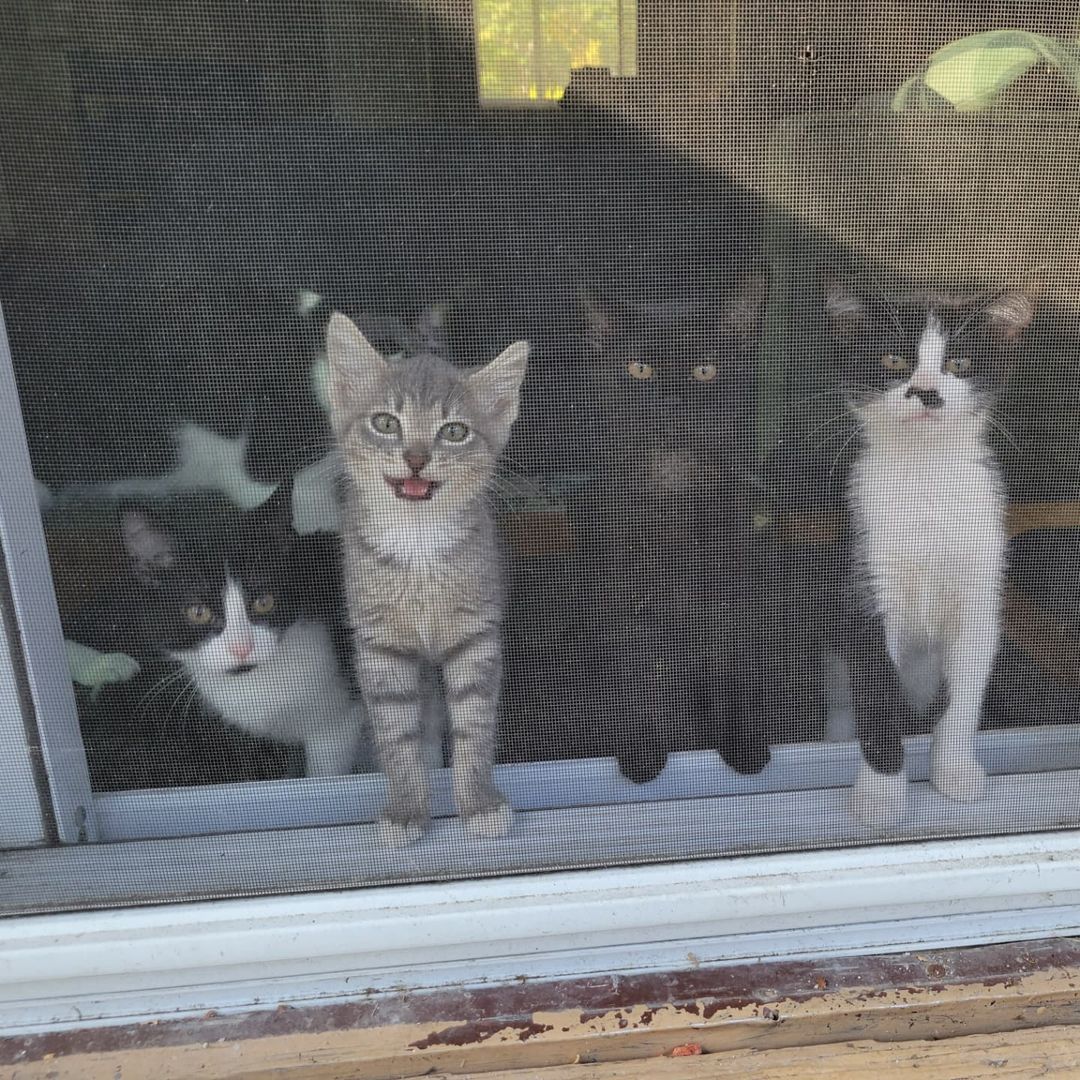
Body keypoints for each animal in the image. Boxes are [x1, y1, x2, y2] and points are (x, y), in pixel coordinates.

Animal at [328, 311, 531, 842]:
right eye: (385, 423)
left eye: (454, 431)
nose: (416, 458)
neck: (418, 545)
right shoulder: (380, 646)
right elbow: (397, 735)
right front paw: (406, 808)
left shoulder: (476, 636)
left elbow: (474, 725)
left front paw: (478, 803)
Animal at [825, 272, 1036, 825]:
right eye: (895, 361)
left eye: (958, 363)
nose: (926, 392)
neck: (927, 477)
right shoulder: (867, 582)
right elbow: (875, 697)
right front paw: (880, 795)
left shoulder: (981, 593)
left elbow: (964, 696)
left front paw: (955, 771)